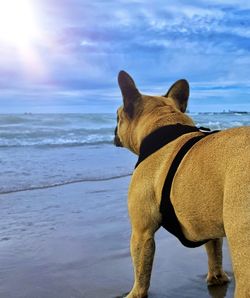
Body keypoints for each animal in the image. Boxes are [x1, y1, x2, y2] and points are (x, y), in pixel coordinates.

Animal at [114, 70, 250, 298]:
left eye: (117, 116)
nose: (113, 130)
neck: (164, 125)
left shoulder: (141, 232)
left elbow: (141, 271)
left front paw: (135, 293)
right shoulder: (208, 220)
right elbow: (214, 252)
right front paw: (217, 277)